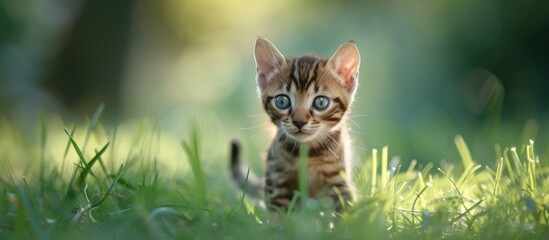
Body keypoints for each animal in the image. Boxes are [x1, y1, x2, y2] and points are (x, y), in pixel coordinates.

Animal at [230, 37, 360, 212]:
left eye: (321, 102)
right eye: (282, 101)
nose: (299, 122)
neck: (308, 153)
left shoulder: (339, 181)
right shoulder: (276, 180)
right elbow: (278, 215)